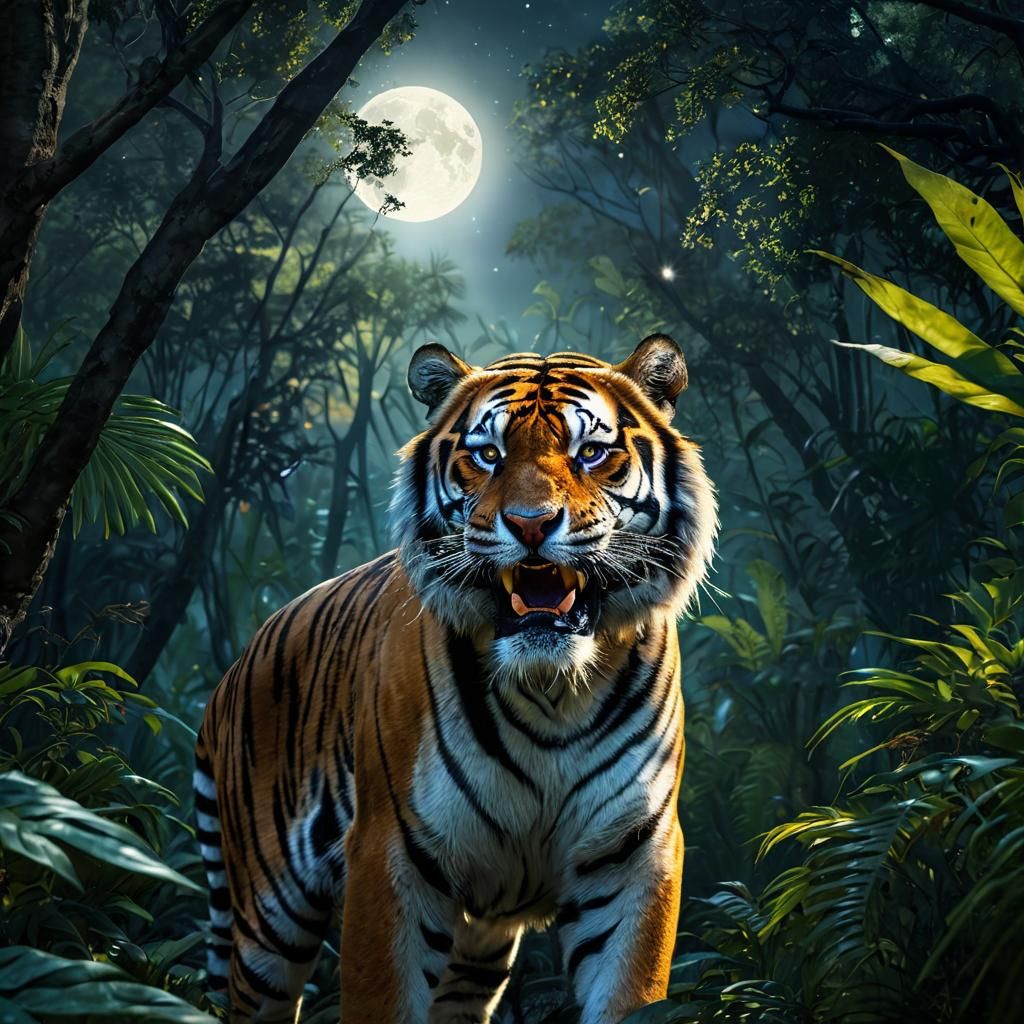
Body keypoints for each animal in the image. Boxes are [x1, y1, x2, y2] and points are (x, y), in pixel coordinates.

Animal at [193, 333, 717, 1024]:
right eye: (488, 455)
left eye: (592, 453)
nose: (530, 524)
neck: (552, 690)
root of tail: (232, 667)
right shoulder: (392, 856)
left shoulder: (630, 858)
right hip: (267, 924)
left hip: (475, 950)